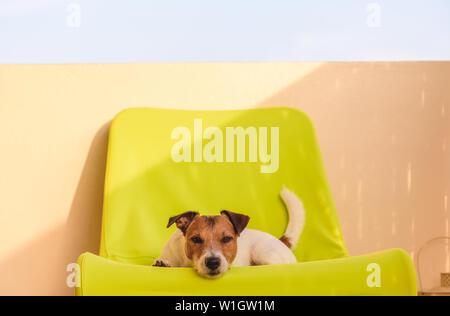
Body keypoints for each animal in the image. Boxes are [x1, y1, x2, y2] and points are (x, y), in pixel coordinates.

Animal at [152, 186, 306, 278]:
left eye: (227, 239)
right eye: (196, 239)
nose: (213, 262)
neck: (187, 263)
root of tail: (281, 241)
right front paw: (163, 264)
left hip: (263, 253)